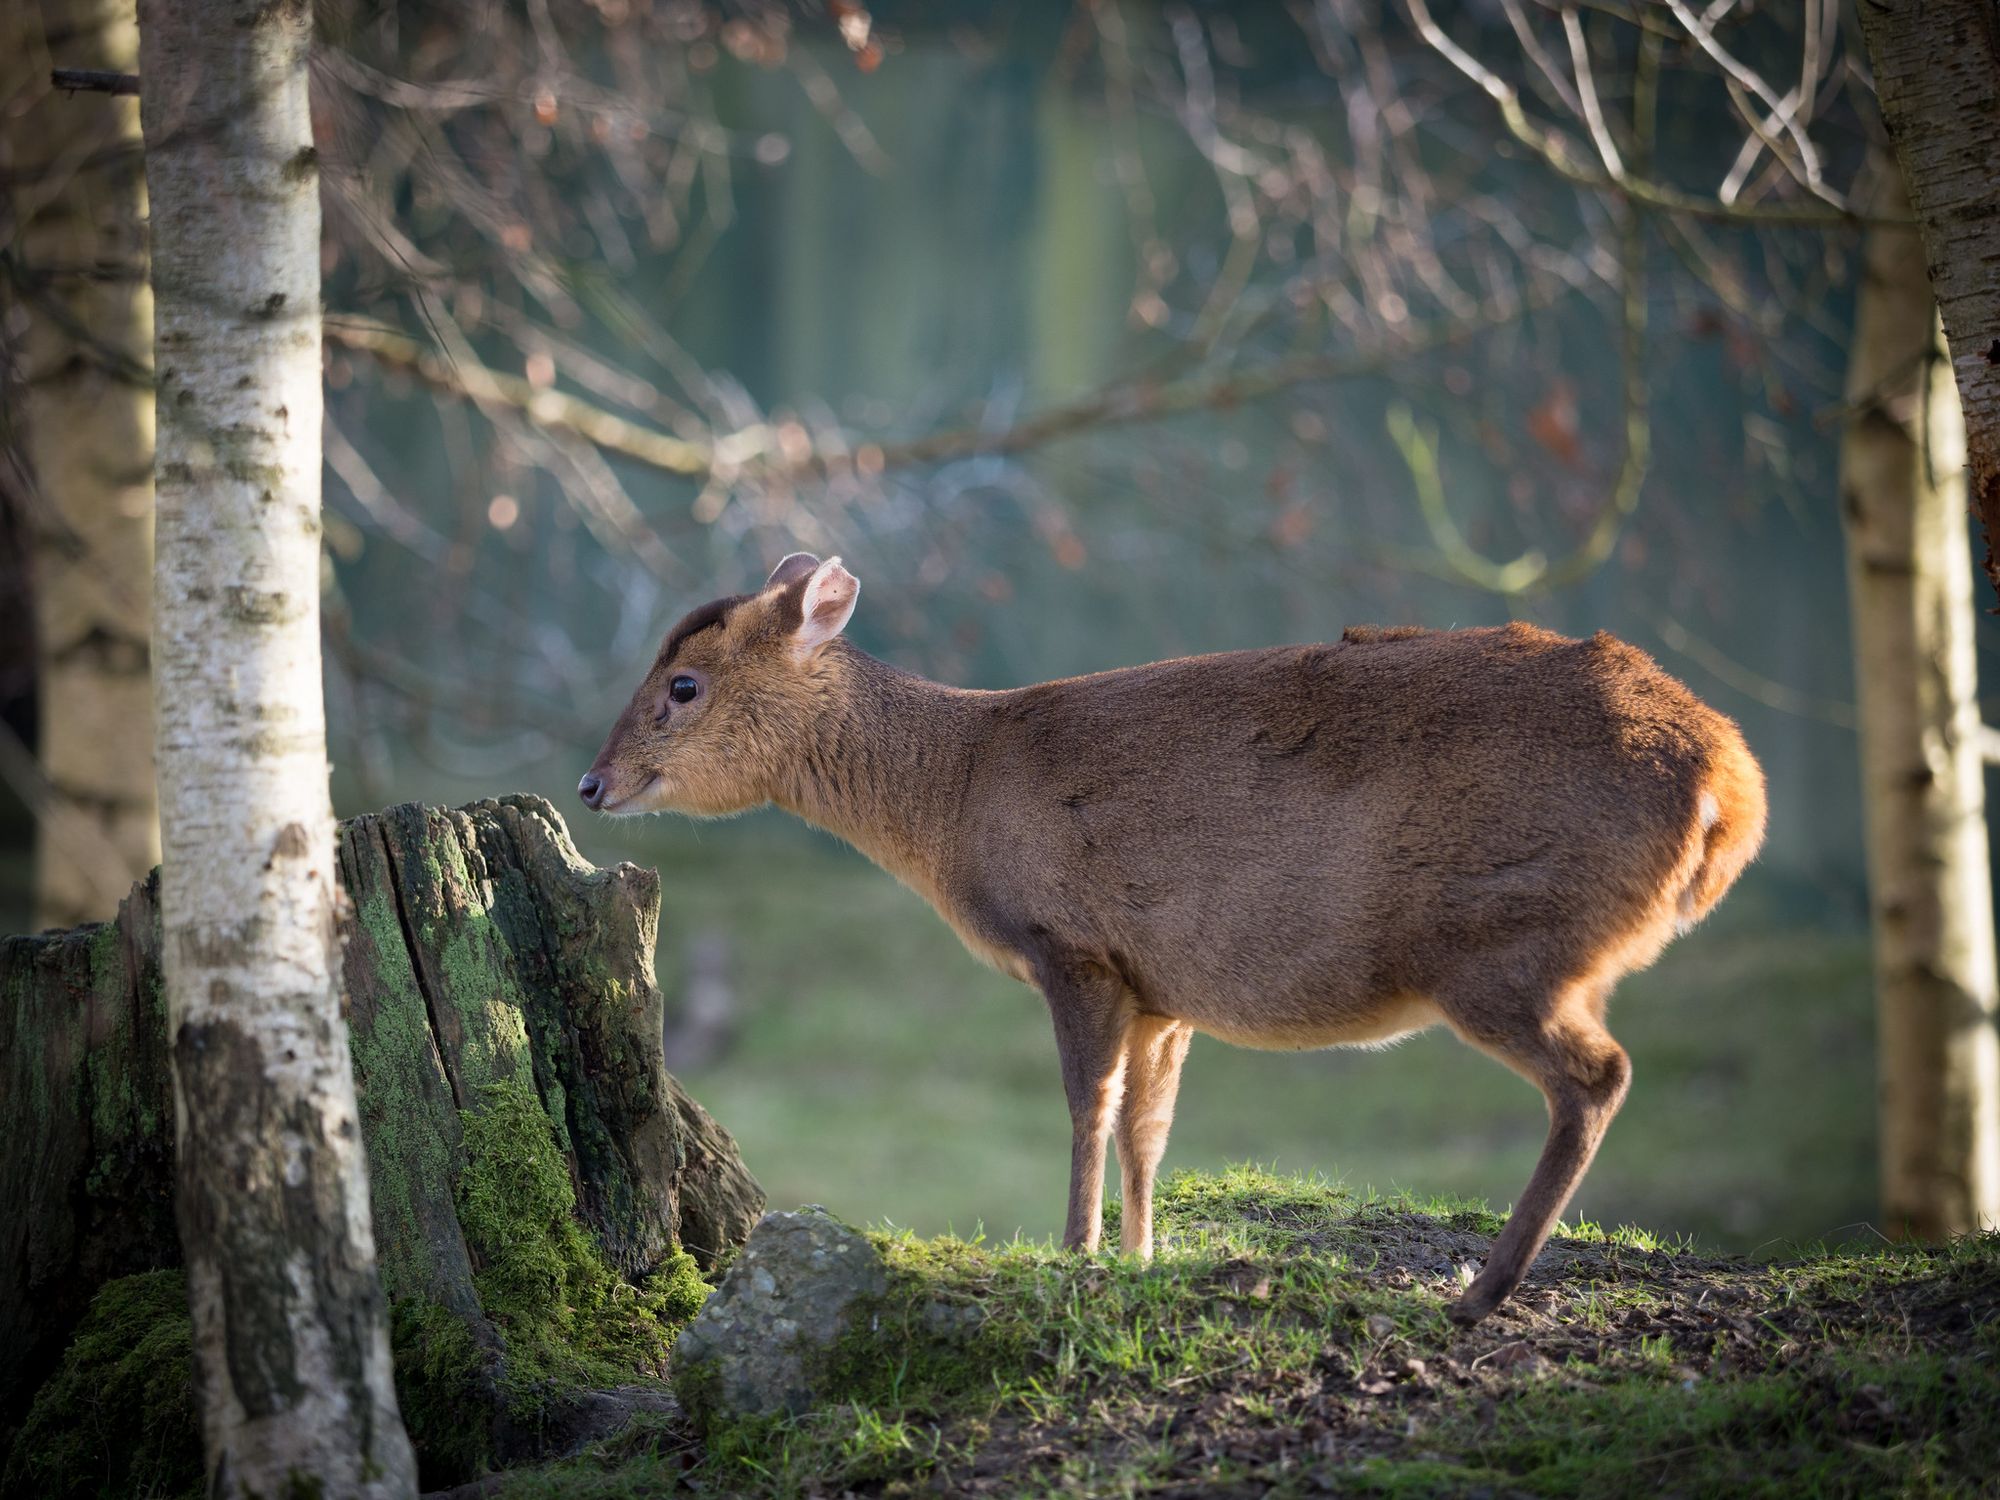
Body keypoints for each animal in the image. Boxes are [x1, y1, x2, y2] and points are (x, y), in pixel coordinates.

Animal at [579, 552, 1766, 1324]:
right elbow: (1148, 1129)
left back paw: (1478, 1291)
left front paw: (1073, 1253)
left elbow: (1086, 1109)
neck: (957, 794)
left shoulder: (1072, 943)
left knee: (1597, 1076)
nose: (592, 783)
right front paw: (1144, 1257)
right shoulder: (1163, 985)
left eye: (681, 686)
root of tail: (1731, 781)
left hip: (1502, 939)